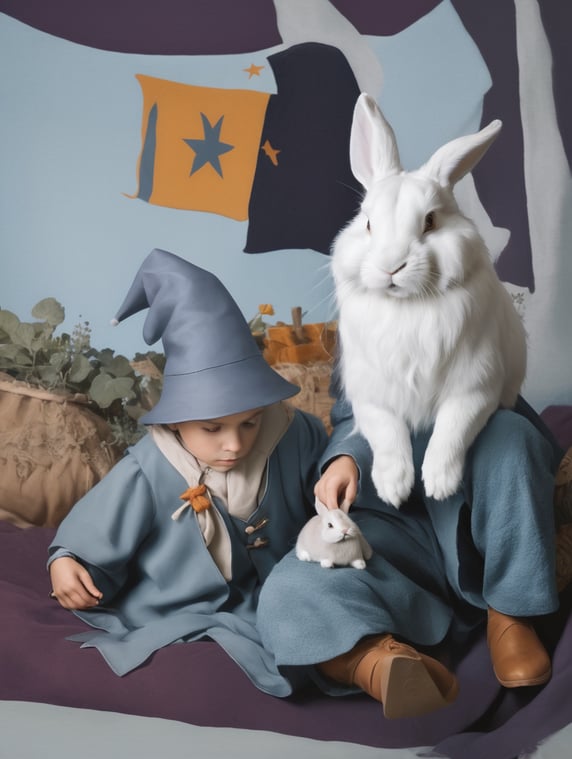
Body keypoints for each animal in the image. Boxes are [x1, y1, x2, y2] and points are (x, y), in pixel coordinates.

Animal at [331, 93, 526, 509]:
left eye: (431, 221)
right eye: (368, 223)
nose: (392, 266)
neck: (407, 306)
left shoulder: (475, 387)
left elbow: (453, 428)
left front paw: (439, 484)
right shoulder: (371, 396)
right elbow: (387, 433)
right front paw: (393, 487)